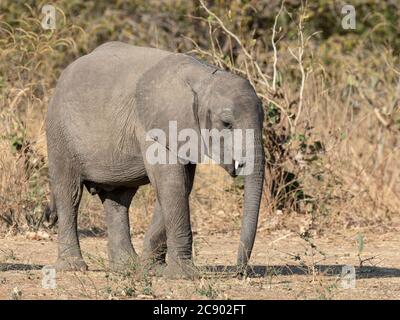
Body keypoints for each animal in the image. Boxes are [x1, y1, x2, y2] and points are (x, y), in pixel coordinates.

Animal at [45, 42, 266, 278]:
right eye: (226, 123)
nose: (239, 271)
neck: (203, 77)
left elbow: (180, 185)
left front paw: (152, 269)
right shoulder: (155, 125)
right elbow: (172, 184)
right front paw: (183, 275)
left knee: (118, 200)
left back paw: (126, 266)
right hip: (59, 131)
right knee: (69, 193)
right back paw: (73, 267)